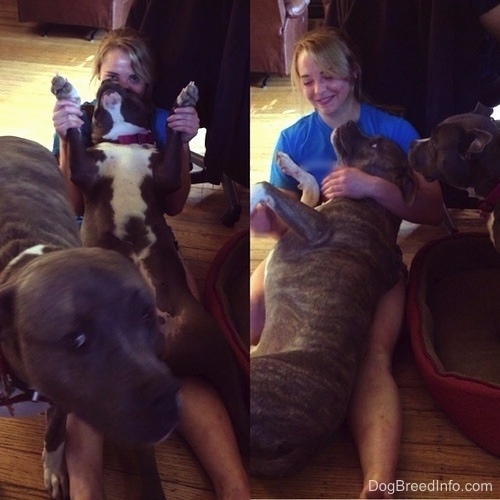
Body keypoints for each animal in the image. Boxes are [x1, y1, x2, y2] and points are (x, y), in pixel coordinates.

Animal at [0, 135, 180, 498]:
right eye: (77, 340)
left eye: (145, 315)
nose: (168, 398)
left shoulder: (61, 402)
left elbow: (56, 434)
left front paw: (55, 470)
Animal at [248, 120, 416, 476]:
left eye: (377, 143)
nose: (351, 122)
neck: (373, 203)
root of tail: (305, 442)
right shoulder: (308, 211)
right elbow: (310, 185)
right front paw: (288, 164)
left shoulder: (315, 227)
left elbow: (264, 185)